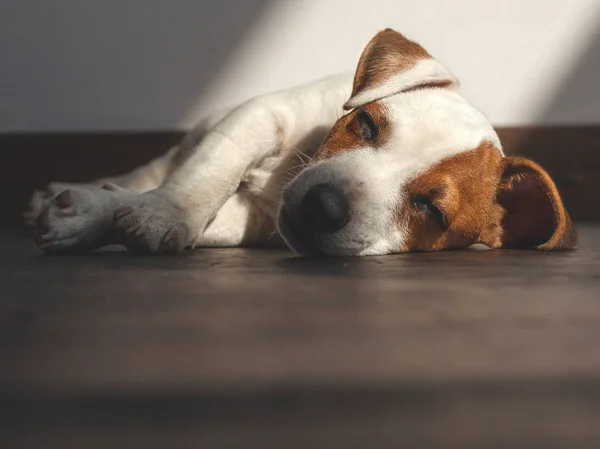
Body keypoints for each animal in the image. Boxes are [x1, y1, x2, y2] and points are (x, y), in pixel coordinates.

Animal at [27, 28, 576, 256]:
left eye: (430, 209)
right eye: (367, 126)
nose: (323, 205)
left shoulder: (256, 220)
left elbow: (219, 219)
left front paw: (106, 219)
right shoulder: (260, 115)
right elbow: (208, 172)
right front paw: (162, 213)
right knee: (156, 170)